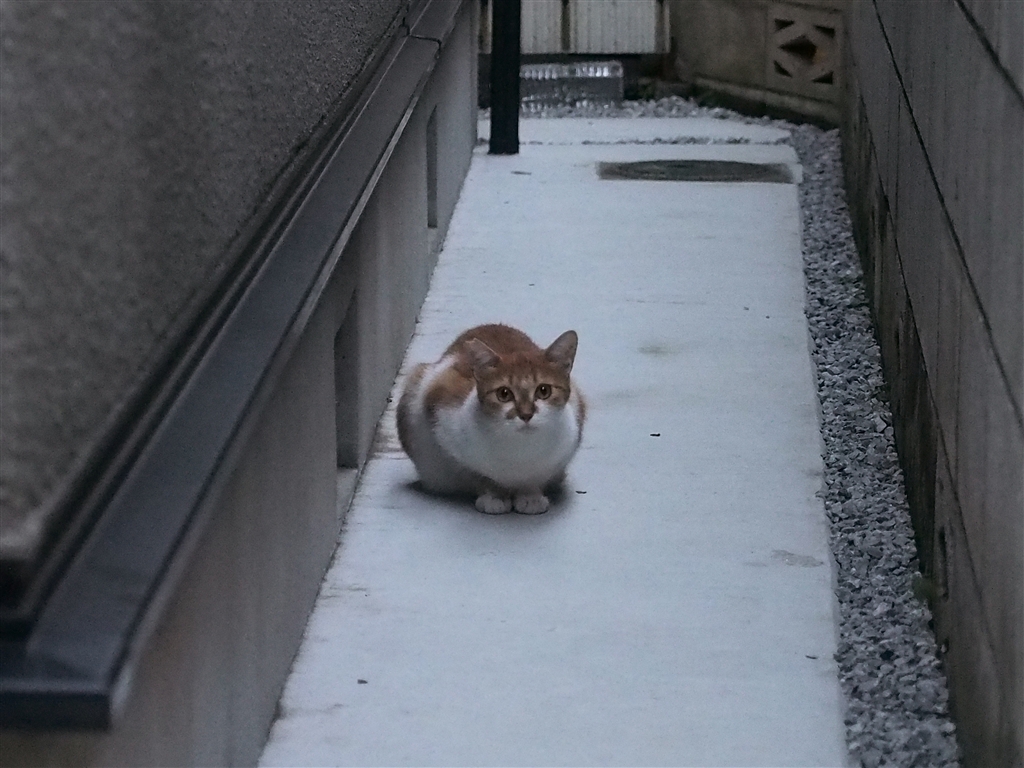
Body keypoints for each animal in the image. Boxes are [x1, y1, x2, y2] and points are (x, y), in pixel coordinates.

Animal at [397, 323, 586, 514]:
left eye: (544, 391)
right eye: (504, 394)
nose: (525, 414)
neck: (521, 452)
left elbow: (536, 477)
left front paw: (530, 495)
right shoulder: (444, 420)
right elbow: (478, 473)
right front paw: (494, 496)